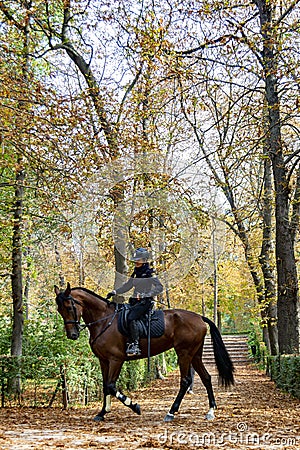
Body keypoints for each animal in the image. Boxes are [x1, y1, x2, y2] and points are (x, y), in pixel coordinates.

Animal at [54, 284, 234, 422]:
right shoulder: (103, 360)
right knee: (206, 377)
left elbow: (111, 386)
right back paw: (210, 411)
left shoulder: (116, 360)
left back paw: (171, 412)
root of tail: (199, 317)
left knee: (185, 381)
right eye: (59, 310)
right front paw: (102, 413)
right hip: (195, 354)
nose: (72, 335)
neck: (104, 320)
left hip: (184, 353)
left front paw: (134, 406)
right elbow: (106, 386)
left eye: (69, 307)